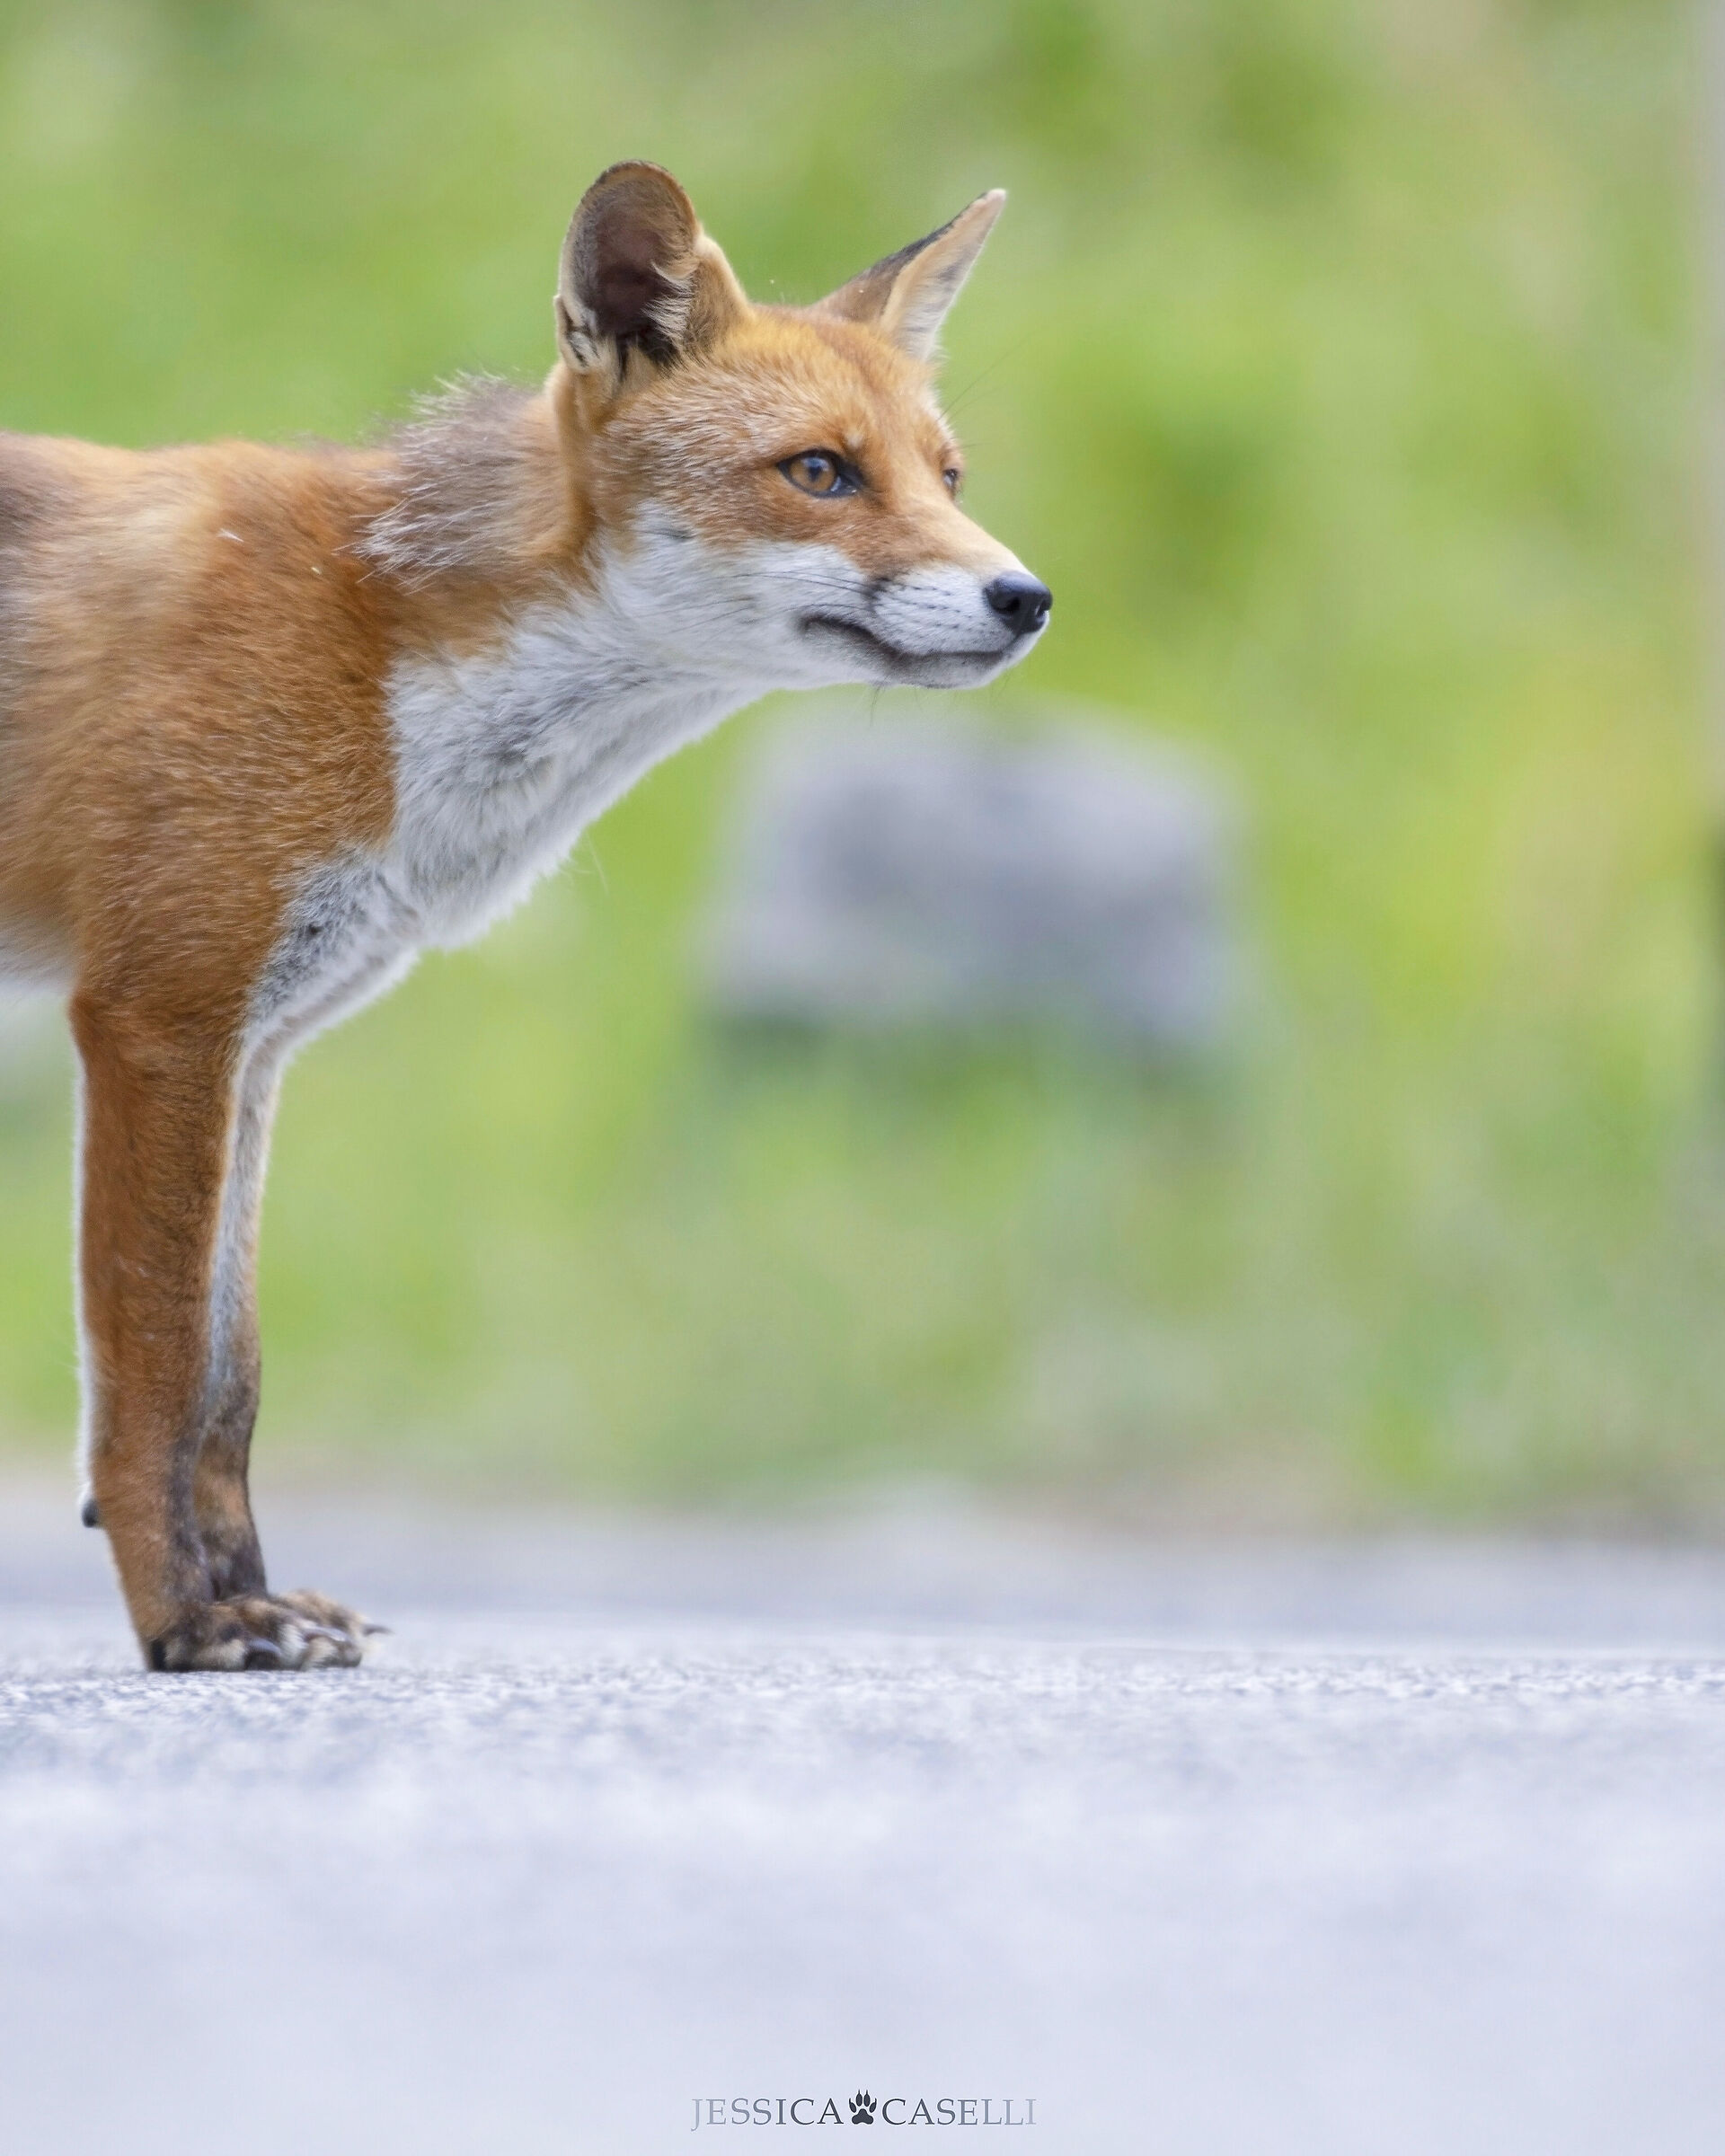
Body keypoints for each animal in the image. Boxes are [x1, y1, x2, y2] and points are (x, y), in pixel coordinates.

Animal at [0, 162, 1050, 1671]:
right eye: (820, 472)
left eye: (948, 477)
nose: (1026, 597)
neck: (374, 647)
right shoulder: (157, 1017)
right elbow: (150, 1378)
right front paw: (188, 1629)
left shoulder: (257, 1046)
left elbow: (227, 1384)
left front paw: (249, 1595)